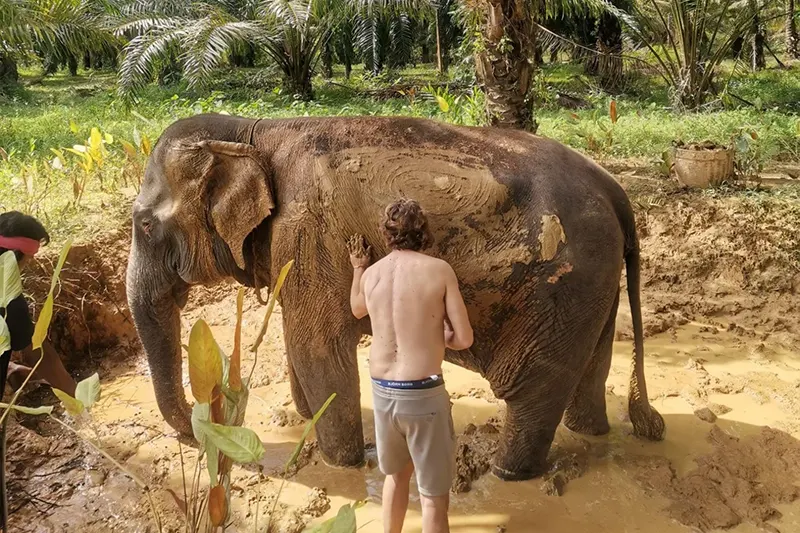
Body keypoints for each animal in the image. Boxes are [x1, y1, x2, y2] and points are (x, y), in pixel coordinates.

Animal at [126, 113, 665, 481]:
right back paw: (590, 433)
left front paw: (344, 465)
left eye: (145, 224)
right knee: (589, 372)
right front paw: (302, 418)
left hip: (562, 287)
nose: (198, 431)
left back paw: (505, 474)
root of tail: (616, 190)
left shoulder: (307, 233)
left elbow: (318, 347)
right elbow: (300, 342)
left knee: (532, 391)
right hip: (595, 285)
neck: (251, 132)